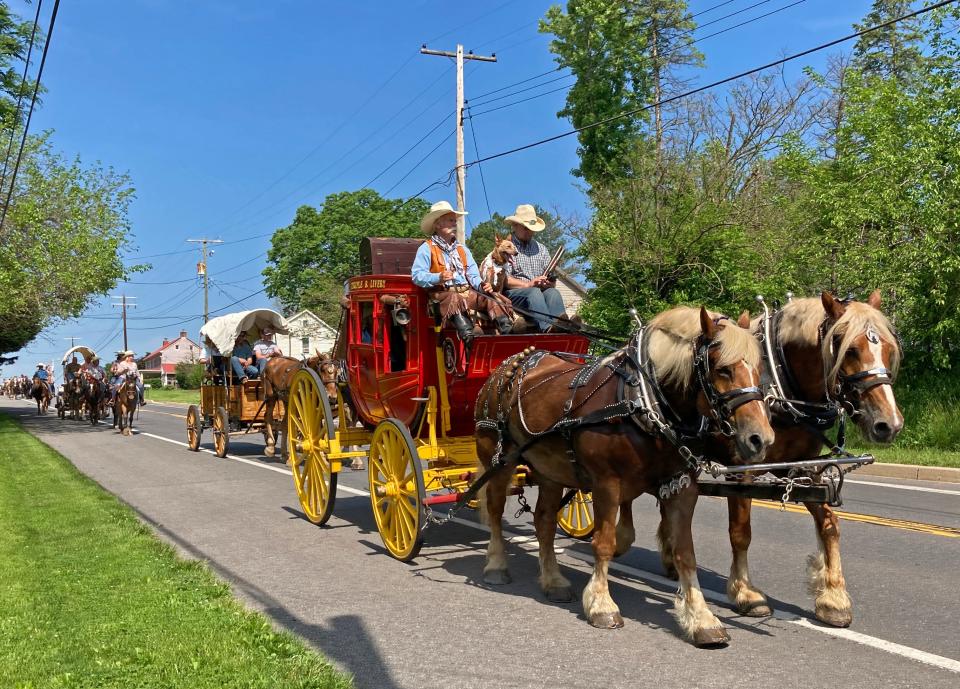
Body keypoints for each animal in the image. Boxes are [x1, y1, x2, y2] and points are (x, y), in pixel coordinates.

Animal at [476, 308, 776, 644]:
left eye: (760, 369)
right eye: (723, 370)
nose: (760, 439)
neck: (644, 401)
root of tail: (509, 365)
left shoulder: (681, 486)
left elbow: (685, 552)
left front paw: (701, 618)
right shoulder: (607, 483)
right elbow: (604, 542)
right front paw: (601, 604)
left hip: (550, 470)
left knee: (544, 522)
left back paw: (553, 580)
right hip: (498, 457)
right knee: (495, 509)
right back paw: (496, 565)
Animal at [704, 292, 900, 628]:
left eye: (888, 349)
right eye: (849, 349)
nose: (889, 424)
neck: (781, 387)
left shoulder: (802, 467)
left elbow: (829, 524)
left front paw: (833, 598)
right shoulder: (742, 469)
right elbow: (740, 532)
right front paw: (746, 594)